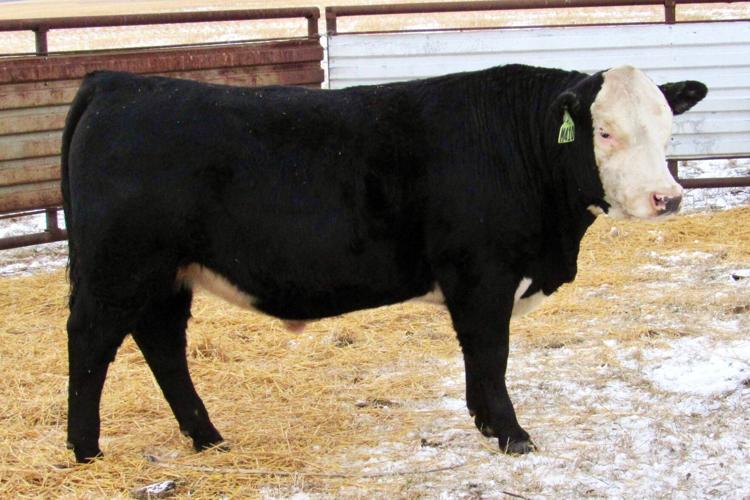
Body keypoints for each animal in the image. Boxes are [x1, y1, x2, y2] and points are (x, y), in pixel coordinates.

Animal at [61, 64, 706, 463]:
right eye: (604, 132)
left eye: (667, 127)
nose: (666, 197)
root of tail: (116, 82)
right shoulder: (483, 275)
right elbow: (491, 354)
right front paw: (512, 435)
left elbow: (477, 358)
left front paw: (484, 423)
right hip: (118, 270)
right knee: (91, 345)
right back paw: (85, 450)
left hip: (166, 277)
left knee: (162, 345)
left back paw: (207, 438)